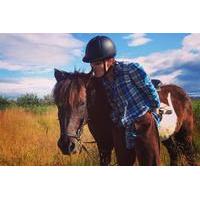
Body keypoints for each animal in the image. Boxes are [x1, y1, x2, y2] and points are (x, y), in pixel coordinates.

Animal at [53, 69, 197, 166]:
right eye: (58, 103)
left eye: (82, 103)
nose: (66, 145)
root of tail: (183, 93)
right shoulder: (103, 145)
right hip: (167, 137)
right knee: (174, 153)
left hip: (185, 135)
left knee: (190, 156)